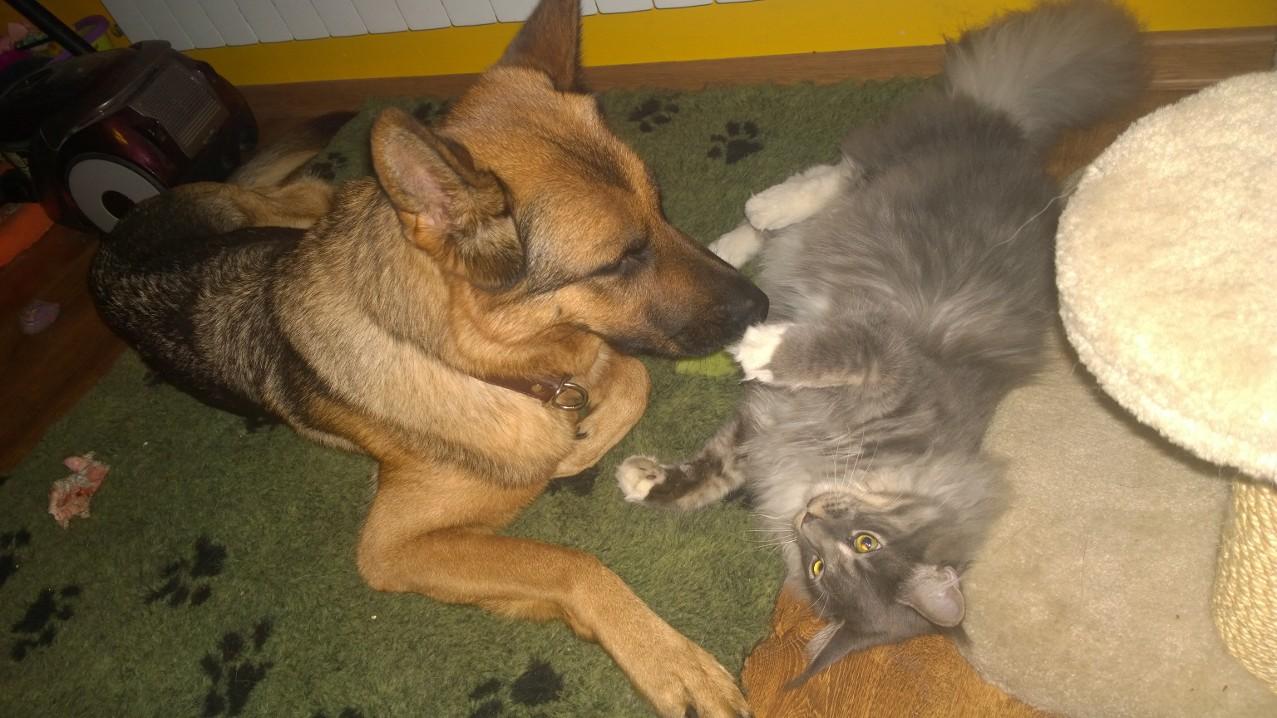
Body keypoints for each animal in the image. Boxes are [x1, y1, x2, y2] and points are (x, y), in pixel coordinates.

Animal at [88, 1, 766, 715]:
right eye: (620, 260)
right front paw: (671, 661)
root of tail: (123, 226)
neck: (474, 362)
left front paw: (582, 440)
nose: (762, 303)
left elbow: (633, 376)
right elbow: (569, 562)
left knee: (310, 196)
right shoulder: (391, 548)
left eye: (660, 210)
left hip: (307, 204)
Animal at [616, 0, 1143, 683]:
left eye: (827, 564)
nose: (810, 518)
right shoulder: (890, 367)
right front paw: (763, 347)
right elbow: (838, 350)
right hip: (902, 163)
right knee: (837, 174)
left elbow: (710, 471)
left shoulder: (762, 430)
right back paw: (761, 215)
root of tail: (1013, 130)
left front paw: (648, 481)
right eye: (862, 543)